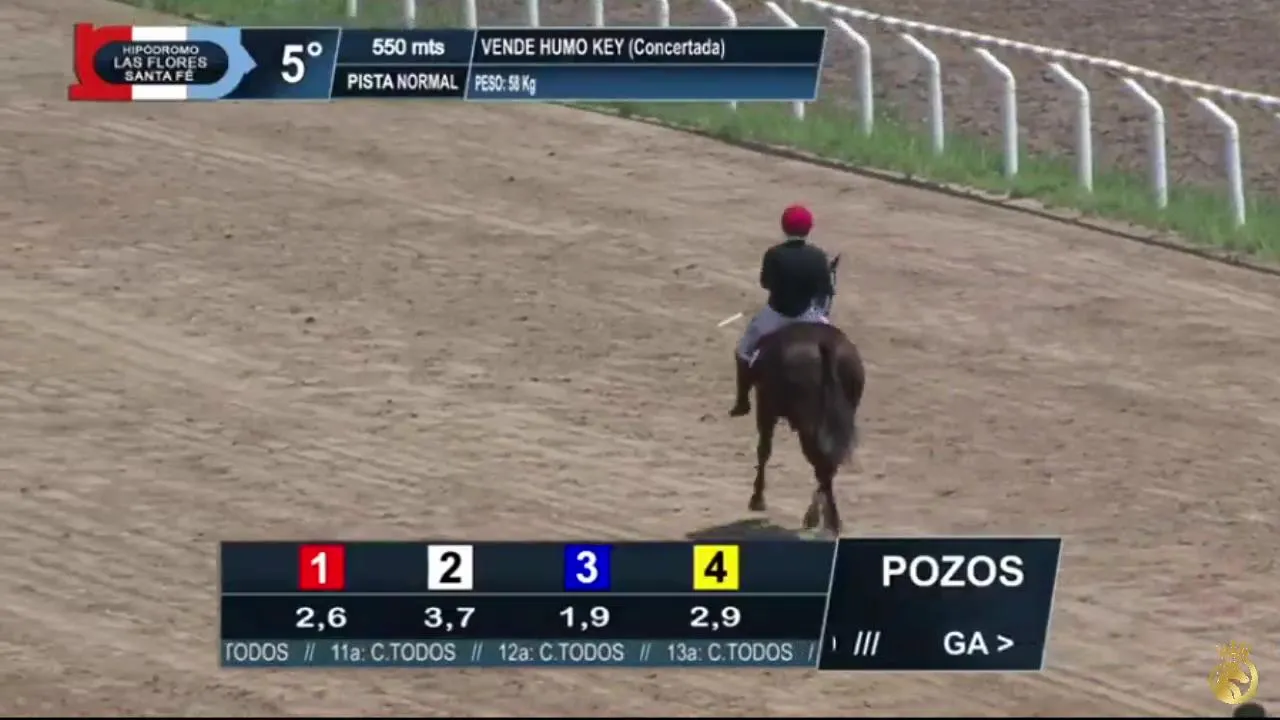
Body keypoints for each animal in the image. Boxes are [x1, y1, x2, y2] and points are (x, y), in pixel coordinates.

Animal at [743, 261, 864, 536]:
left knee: (821, 463)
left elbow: (763, 450)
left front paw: (757, 499)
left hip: (804, 422)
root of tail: (824, 345)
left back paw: (830, 521)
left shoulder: (766, 408)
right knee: (829, 463)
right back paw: (822, 518)